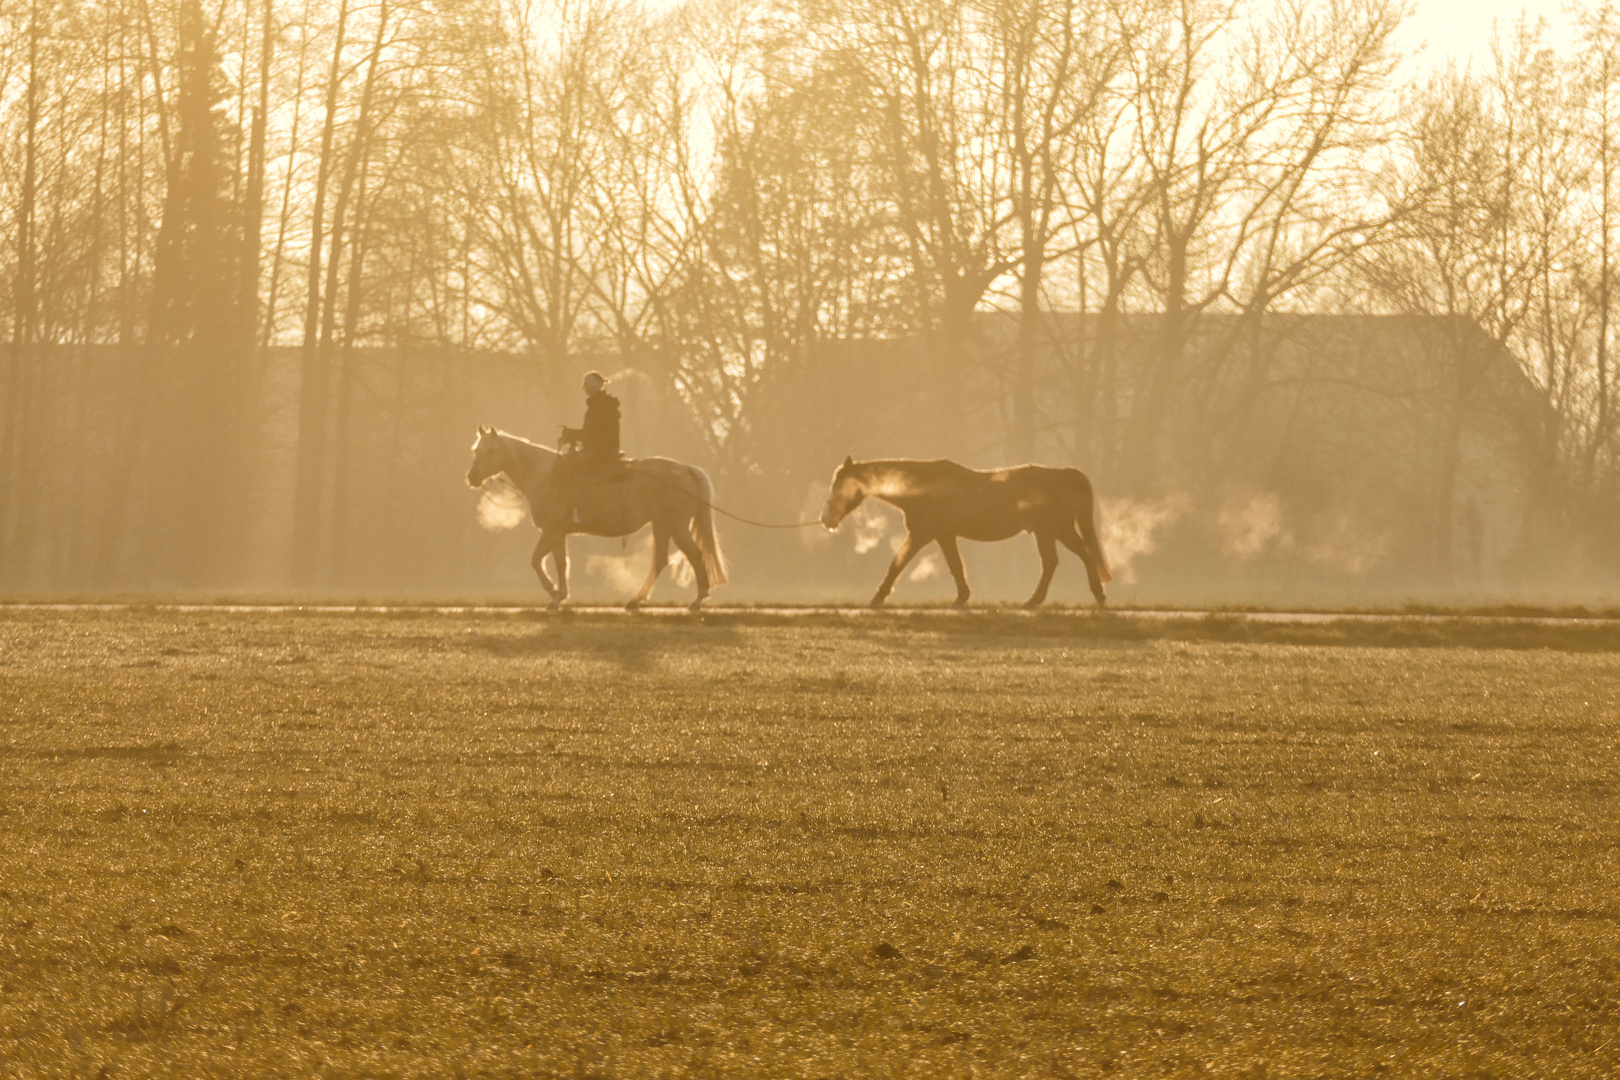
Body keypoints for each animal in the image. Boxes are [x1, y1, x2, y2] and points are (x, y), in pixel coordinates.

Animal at [466, 427, 725, 612]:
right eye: (476, 450)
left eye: (491, 451)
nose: (472, 477)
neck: (545, 476)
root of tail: (686, 469)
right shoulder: (558, 533)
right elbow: (558, 563)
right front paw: (558, 595)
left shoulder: (552, 530)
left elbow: (539, 560)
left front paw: (554, 594)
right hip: (662, 526)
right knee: (661, 560)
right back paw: (637, 600)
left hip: (674, 526)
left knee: (695, 555)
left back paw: (697, 600)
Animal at [822, 453, 1114, 608]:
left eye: (838, 485)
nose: (826, 520)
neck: (923, 487)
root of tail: (1065, 474)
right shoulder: (939, 536)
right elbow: (942, 565)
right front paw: (961, 597)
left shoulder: (928, 535)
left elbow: (904, 565)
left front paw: (878, 598)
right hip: (1051, 532)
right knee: (1058, 560)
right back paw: (1037, 600)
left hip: (1054, 530)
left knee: (1075, 556)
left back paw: (1091, 596)